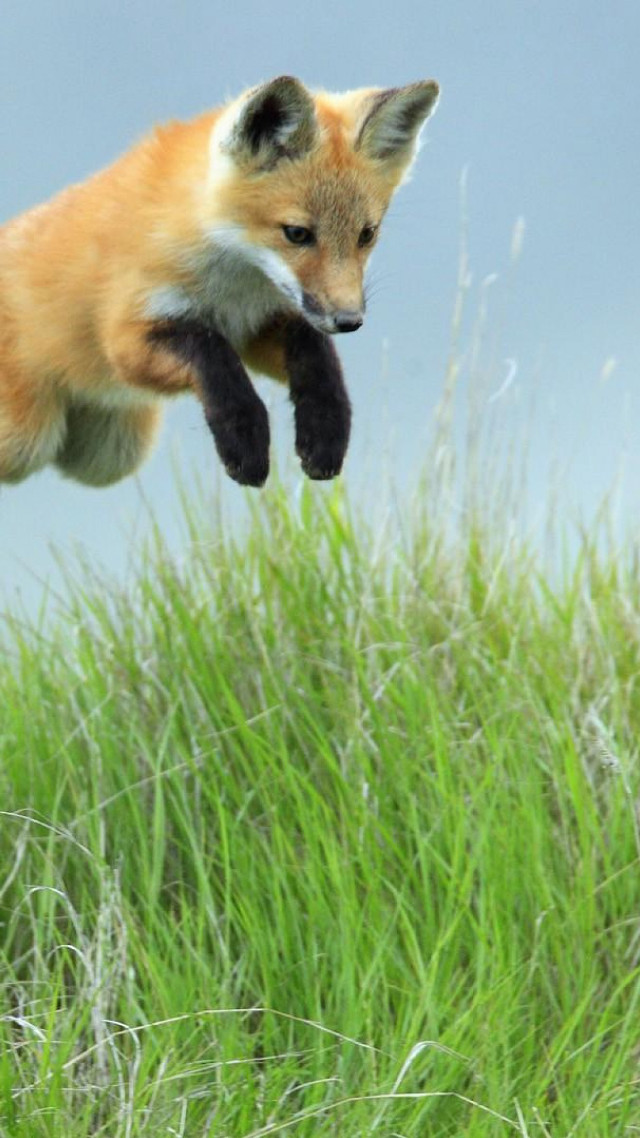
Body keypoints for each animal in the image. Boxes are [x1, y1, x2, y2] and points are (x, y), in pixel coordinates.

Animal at [0, 75, 439, 489]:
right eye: (297, 233)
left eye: (366, 234)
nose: (349, 321)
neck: (234, 289)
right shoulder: (126, 339)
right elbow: (210, 352)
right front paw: (244, 439)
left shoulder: (257, 327)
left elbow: (316, 354)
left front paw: (325, 429)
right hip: (25, 441)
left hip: (109, 457)